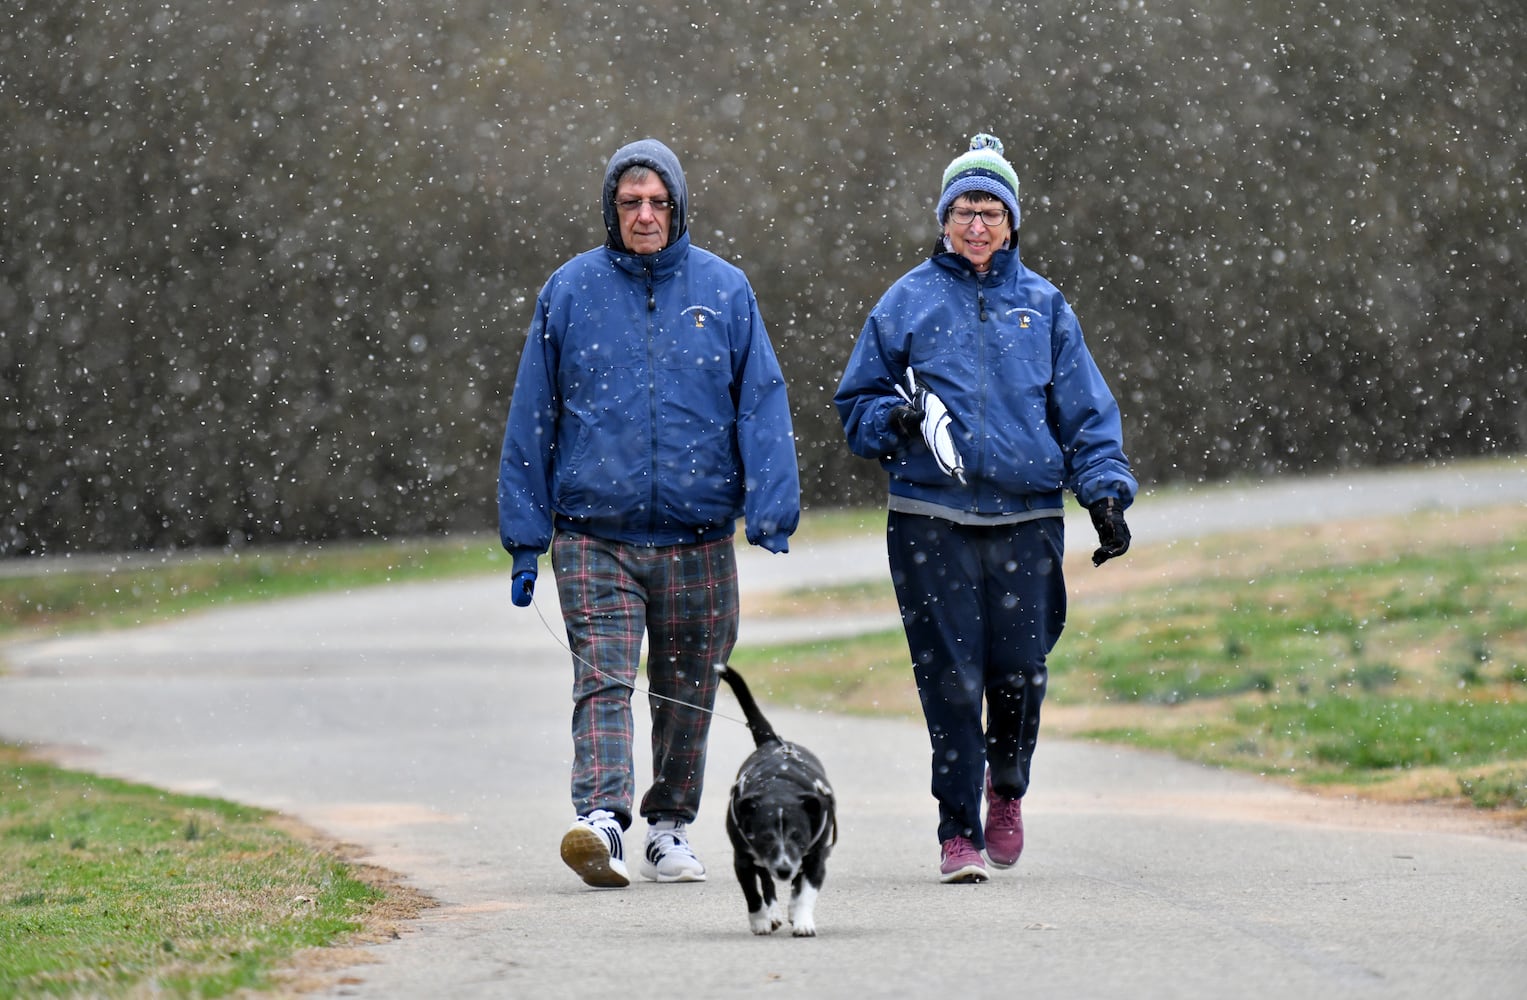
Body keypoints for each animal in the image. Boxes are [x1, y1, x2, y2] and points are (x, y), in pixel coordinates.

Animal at [714, 665, 836, 940]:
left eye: (798, 835)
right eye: (766, 836)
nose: (783, 869)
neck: (779, 788)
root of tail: (772, 741)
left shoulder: (816, 857)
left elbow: (806, 891)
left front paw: (803, 921)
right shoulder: (743, 858)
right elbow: (753, 893)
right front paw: (760, 920)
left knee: (794, 883)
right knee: (767, 883)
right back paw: (773, 913)